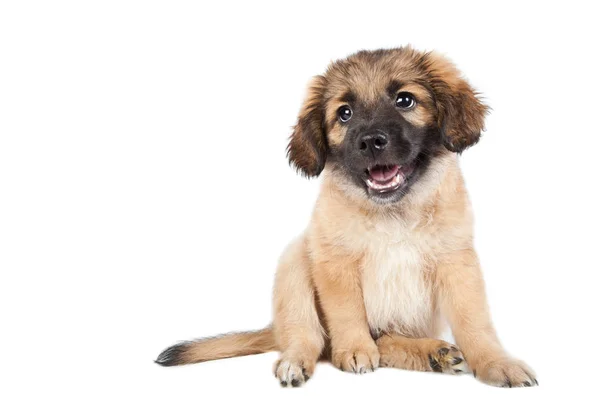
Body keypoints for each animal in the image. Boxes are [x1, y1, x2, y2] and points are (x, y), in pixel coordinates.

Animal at [157, 46, 536, 388]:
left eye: (405, 100)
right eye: (345, 113)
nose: (370, 142)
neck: (392, 214)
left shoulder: (457, 262)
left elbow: (475, 322)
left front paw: (496, 362)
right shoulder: (334, 262)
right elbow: (346, 312)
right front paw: (353, 350)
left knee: (386, 340)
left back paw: (433, 354)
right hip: (294, 261)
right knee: (307, 336)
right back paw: (296, 362)